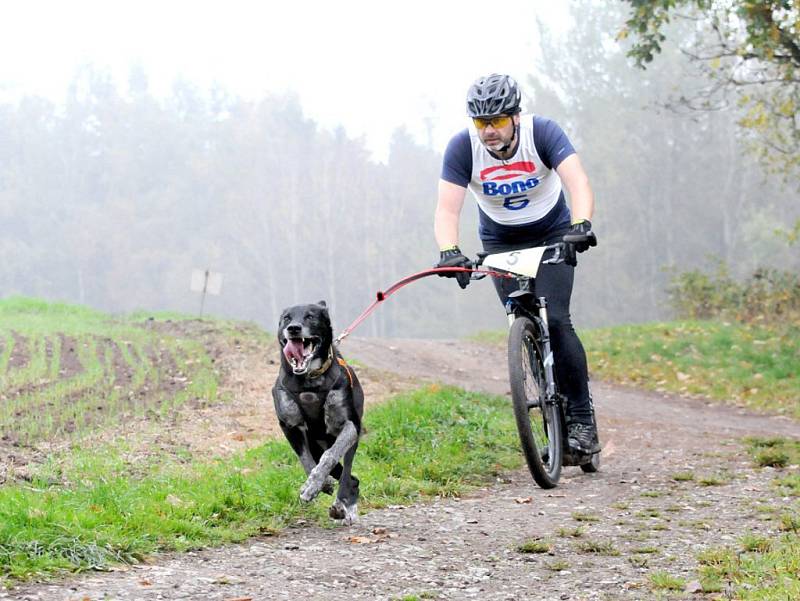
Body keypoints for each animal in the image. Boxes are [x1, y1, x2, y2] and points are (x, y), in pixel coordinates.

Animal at [274, 300, 364, 524]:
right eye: (286, 318)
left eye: (311, 316)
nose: (293, 329)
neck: (309, 382)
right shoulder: (289, 426)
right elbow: (305, 459)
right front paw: (317, 484)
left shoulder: (350, 424)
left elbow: (330, 456)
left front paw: (314, 485)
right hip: (316, 443)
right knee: (348, 475)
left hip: (352, 437)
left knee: (348, 473)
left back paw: (343, 506)